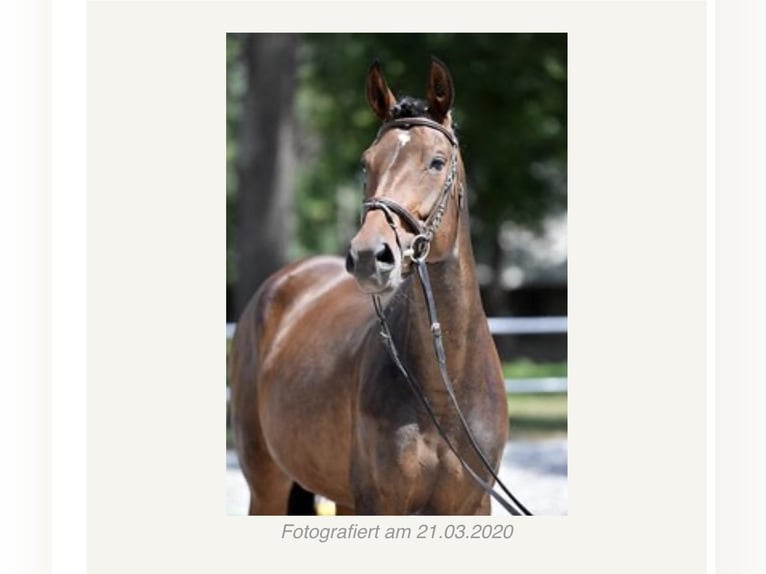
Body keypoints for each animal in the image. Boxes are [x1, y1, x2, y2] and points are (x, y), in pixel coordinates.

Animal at [231, 59, 520, 516]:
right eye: (367, 163)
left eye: (437, 162)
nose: (369, 254)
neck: (446, 387)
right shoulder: (380, 503)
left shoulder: (473, 505)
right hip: (268, 487)